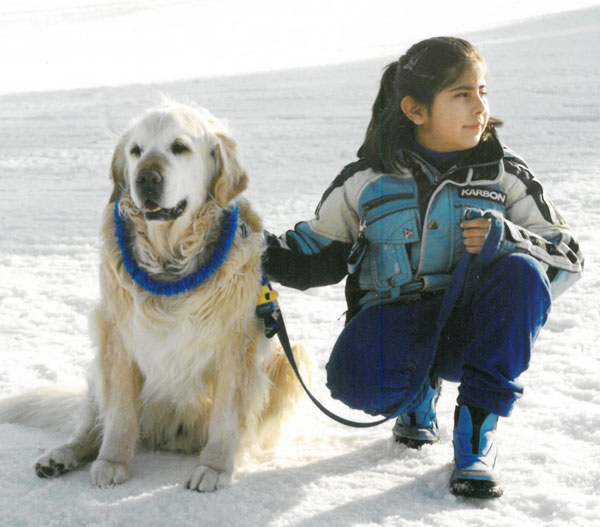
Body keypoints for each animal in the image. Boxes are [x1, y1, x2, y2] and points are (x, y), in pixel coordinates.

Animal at [0, 102, 310, 490]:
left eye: (179, 147)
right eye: (136, 151)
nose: (146, 178)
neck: (169, 259)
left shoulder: (238, 341)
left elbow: (227, 413)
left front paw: (215, 467)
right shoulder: (116, 334)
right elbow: (119, 412)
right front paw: (112, 461)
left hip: (291, 359)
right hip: (97, 366)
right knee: (90, 426)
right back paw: (61, 456)